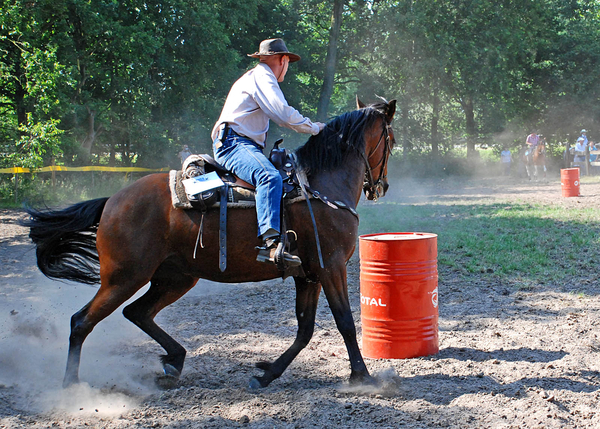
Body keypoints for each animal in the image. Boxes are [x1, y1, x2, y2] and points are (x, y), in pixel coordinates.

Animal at [23, 97, 396, 388]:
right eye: (391, 140)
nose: (382, 186)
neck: (319, 186)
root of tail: (112, 201)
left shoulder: (308, 274)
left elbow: (304, 330)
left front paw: (266, 374)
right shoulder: (330, 266)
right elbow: (344, 321)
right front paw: (363, 377)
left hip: (175, 278)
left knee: (137, 312)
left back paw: (174, 361)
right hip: (124, 278)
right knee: (82, 321)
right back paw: (72, 387)